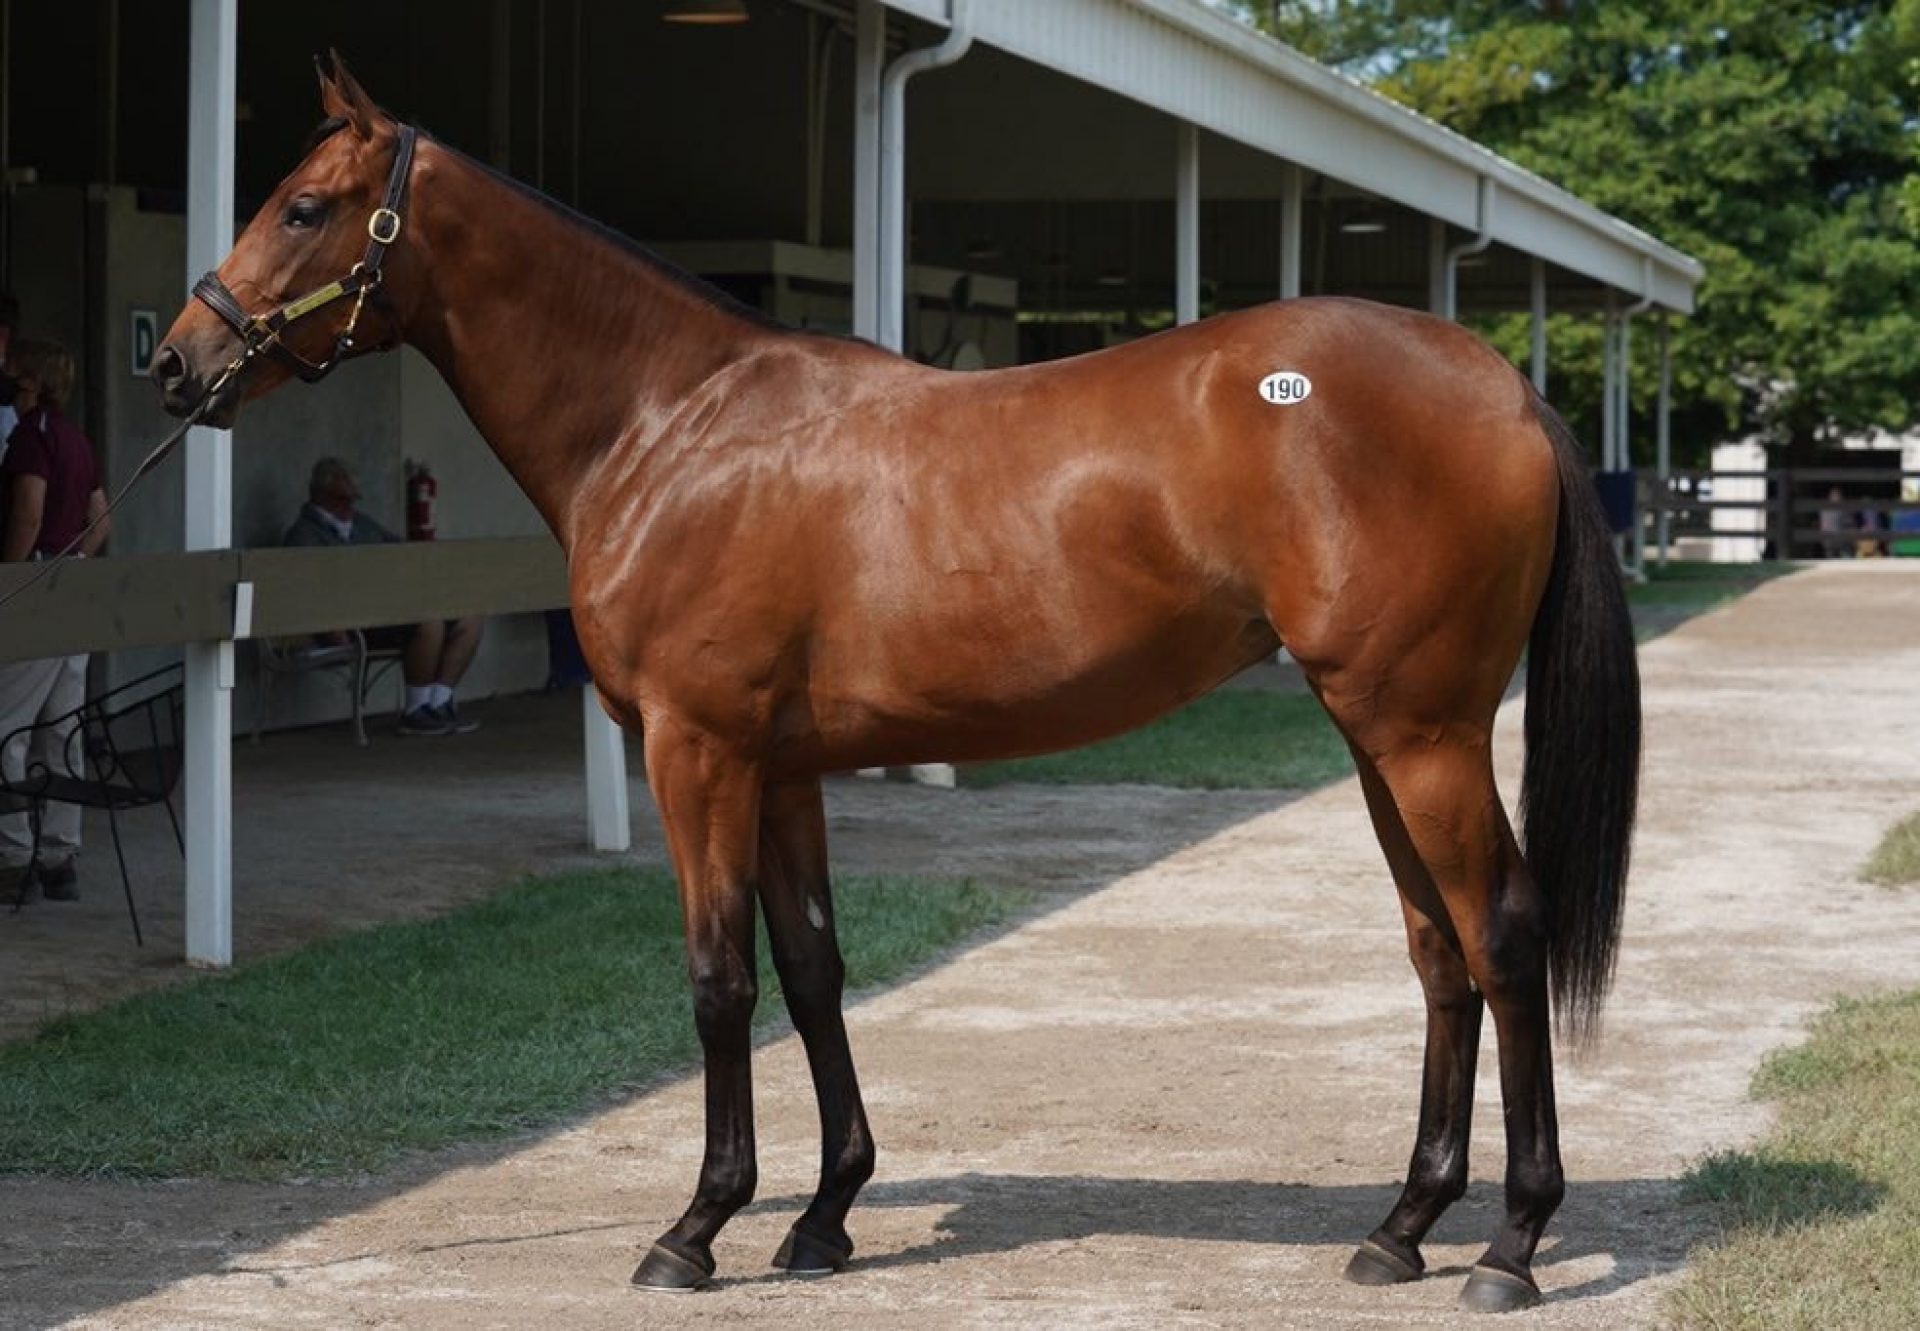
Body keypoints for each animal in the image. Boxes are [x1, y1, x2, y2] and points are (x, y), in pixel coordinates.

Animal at [157, 59, 1643, 1306]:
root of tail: (1503, 388)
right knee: (1439, 950)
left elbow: (717, 977)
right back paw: (1402, 1225)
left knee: (1504, 934)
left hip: (1425, 732)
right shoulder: (782, 768)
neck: (673, 424)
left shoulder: (697, 750)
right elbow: (814, 967)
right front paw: (823, 1215)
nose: (174, 359)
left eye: (302, 206)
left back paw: (1511, 1243)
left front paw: (696, 1227)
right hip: (1379, 732)